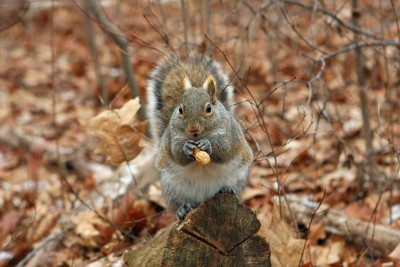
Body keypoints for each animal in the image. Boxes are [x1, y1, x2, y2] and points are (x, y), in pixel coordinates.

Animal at [147, 53, 253, 221]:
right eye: (180, 109)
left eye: (208, 108)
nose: (193, 129)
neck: (199, 137)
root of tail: (205, 198)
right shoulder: (172, 138)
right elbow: (177, 155)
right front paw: (187, 148)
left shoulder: (230, 134)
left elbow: (224, 150)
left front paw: (207, 145)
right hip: (171, 187)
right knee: (179, 203)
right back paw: (182, 209)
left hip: (239, 175)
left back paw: (228, 190)